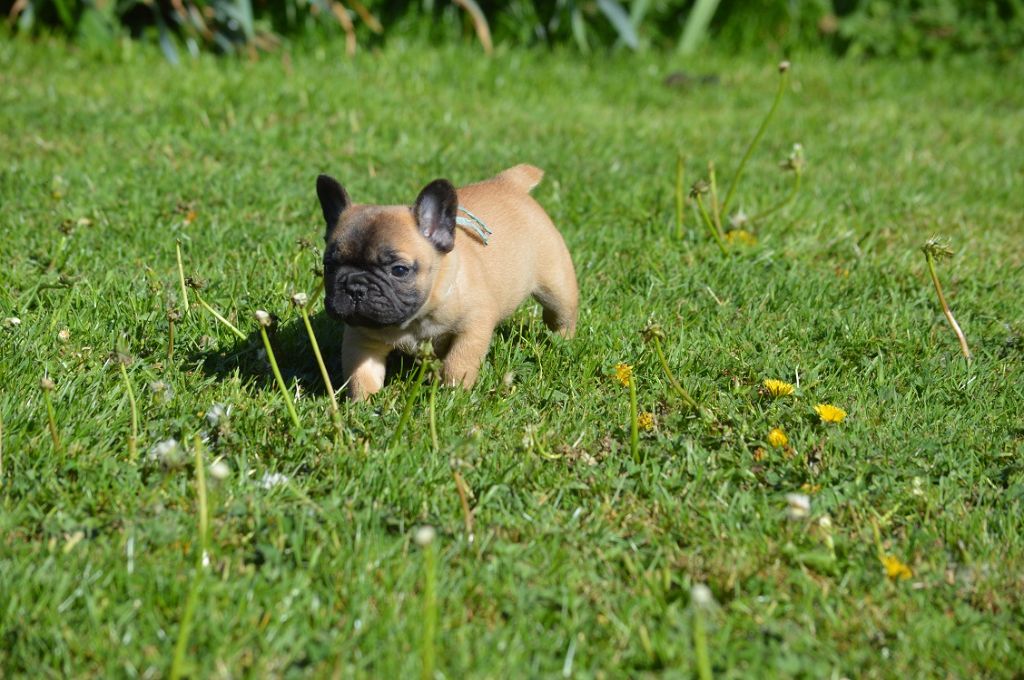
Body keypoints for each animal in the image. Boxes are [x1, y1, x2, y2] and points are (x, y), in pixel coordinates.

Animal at [316, 164, 578, 401]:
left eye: (399, 270)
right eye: (329, 266)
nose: (355, 287)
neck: (414, 321)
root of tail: (508, 183)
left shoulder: (473, 329)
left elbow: (458, 363)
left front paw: (451, 394)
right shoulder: (363, 339)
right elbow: (362, 373)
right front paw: (362, 403)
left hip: (556, 285)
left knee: (561, 314)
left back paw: (562, 340)